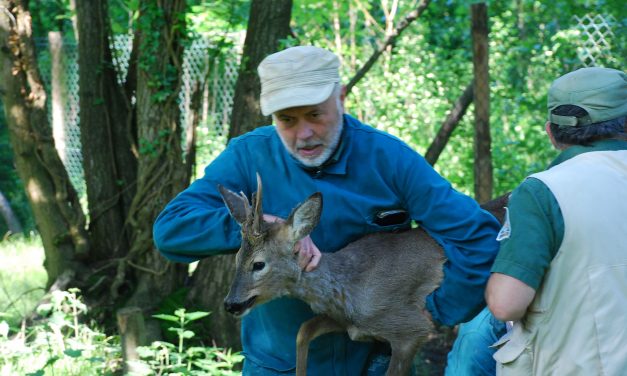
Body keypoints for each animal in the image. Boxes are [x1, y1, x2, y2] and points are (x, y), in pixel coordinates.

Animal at [218, 176, 508, 376]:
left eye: (258, 264)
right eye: (237, 258)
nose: (231, 303)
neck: (352, 286)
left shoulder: (412, 327)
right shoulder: (349, 323)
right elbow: (303, 331)